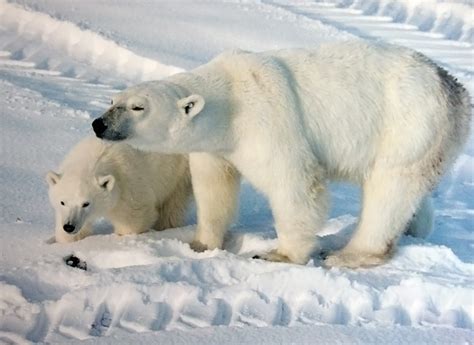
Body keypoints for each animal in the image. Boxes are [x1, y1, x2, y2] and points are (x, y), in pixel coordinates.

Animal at [45, 136, 191, 243]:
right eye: (62, 202)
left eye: (86, 203)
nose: (69, 226)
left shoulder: (129, 186)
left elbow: (133, 221)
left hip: (177, 173)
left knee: (172, 206)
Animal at [90, 40, 470, 266]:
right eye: (113, 100)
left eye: (138, 107)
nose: (98, 124)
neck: (229, 98)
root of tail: (456, 91)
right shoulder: (216, 147)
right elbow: (214, 189)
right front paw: (199, 244)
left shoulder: (266, 122)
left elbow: (295, 184)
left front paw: (280, 254)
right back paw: (415, 227)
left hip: (409, 125)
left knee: (388, 191)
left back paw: (349, 254)